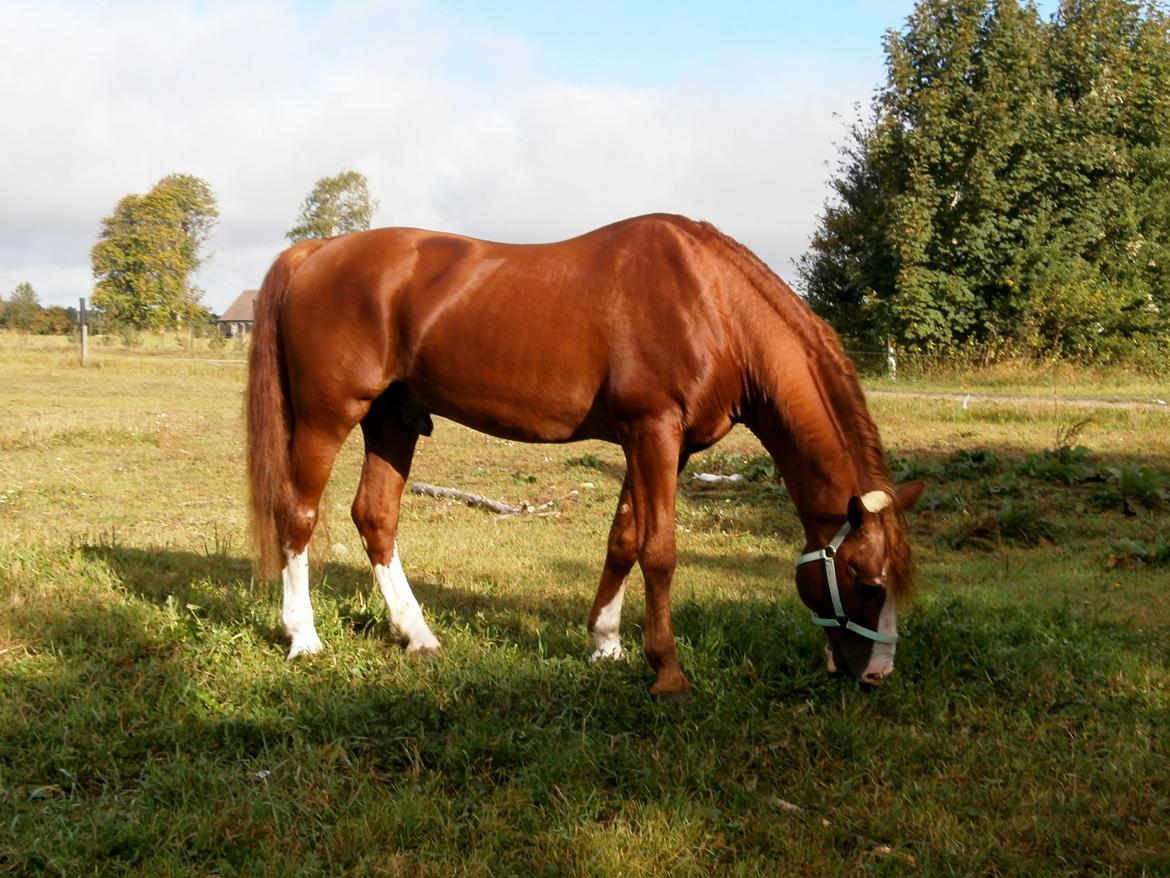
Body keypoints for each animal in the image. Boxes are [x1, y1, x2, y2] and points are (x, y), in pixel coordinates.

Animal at [246, 215, 921, 693]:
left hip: (393, 421)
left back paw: (418, 634)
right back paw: (304, 638)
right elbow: (660, 551)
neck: (711, 303)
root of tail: (319, 250)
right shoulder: (654, 432)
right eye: (865, 581)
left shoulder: (661, 445)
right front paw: (667, 670)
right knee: (298, 516)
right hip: (328, 418)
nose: (878, 674)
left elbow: (624, 539)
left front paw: (605, 643)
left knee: (375, 517)